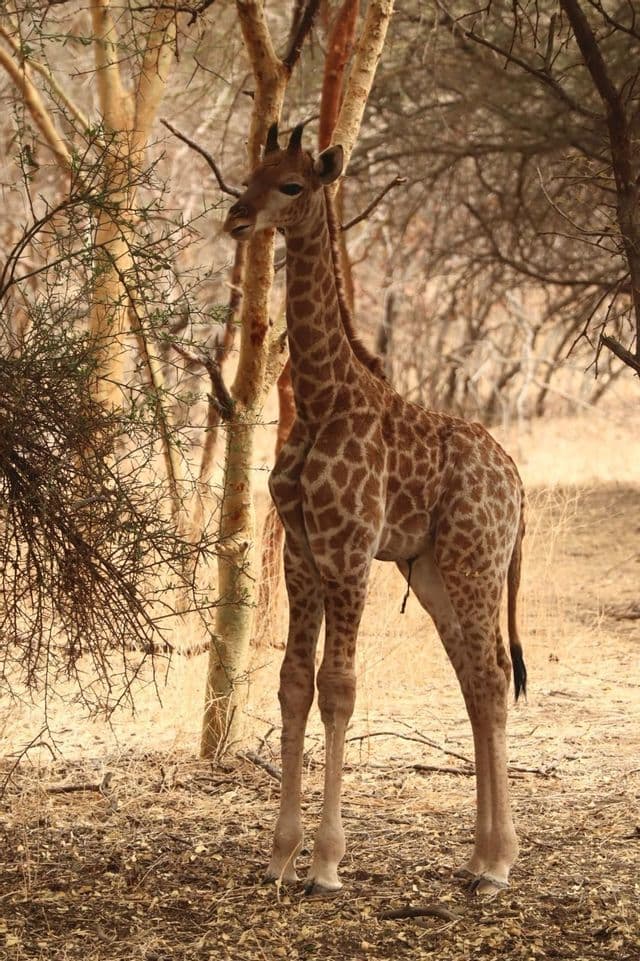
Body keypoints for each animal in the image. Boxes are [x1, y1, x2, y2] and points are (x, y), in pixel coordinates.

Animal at [224, 122, 527, 898]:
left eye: (291, 185)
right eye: (249, 174)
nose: (238, 217)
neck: (322, 396)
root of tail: (516, 481)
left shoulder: (350, 549)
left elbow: (338, 687)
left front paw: (327, 862)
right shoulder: (303, 552)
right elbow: (292, 684)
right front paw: (279, 854)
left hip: (476, 561)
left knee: (491, 679)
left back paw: (499, 862)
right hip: (434, 572)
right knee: (475, 682)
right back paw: (477, 856)